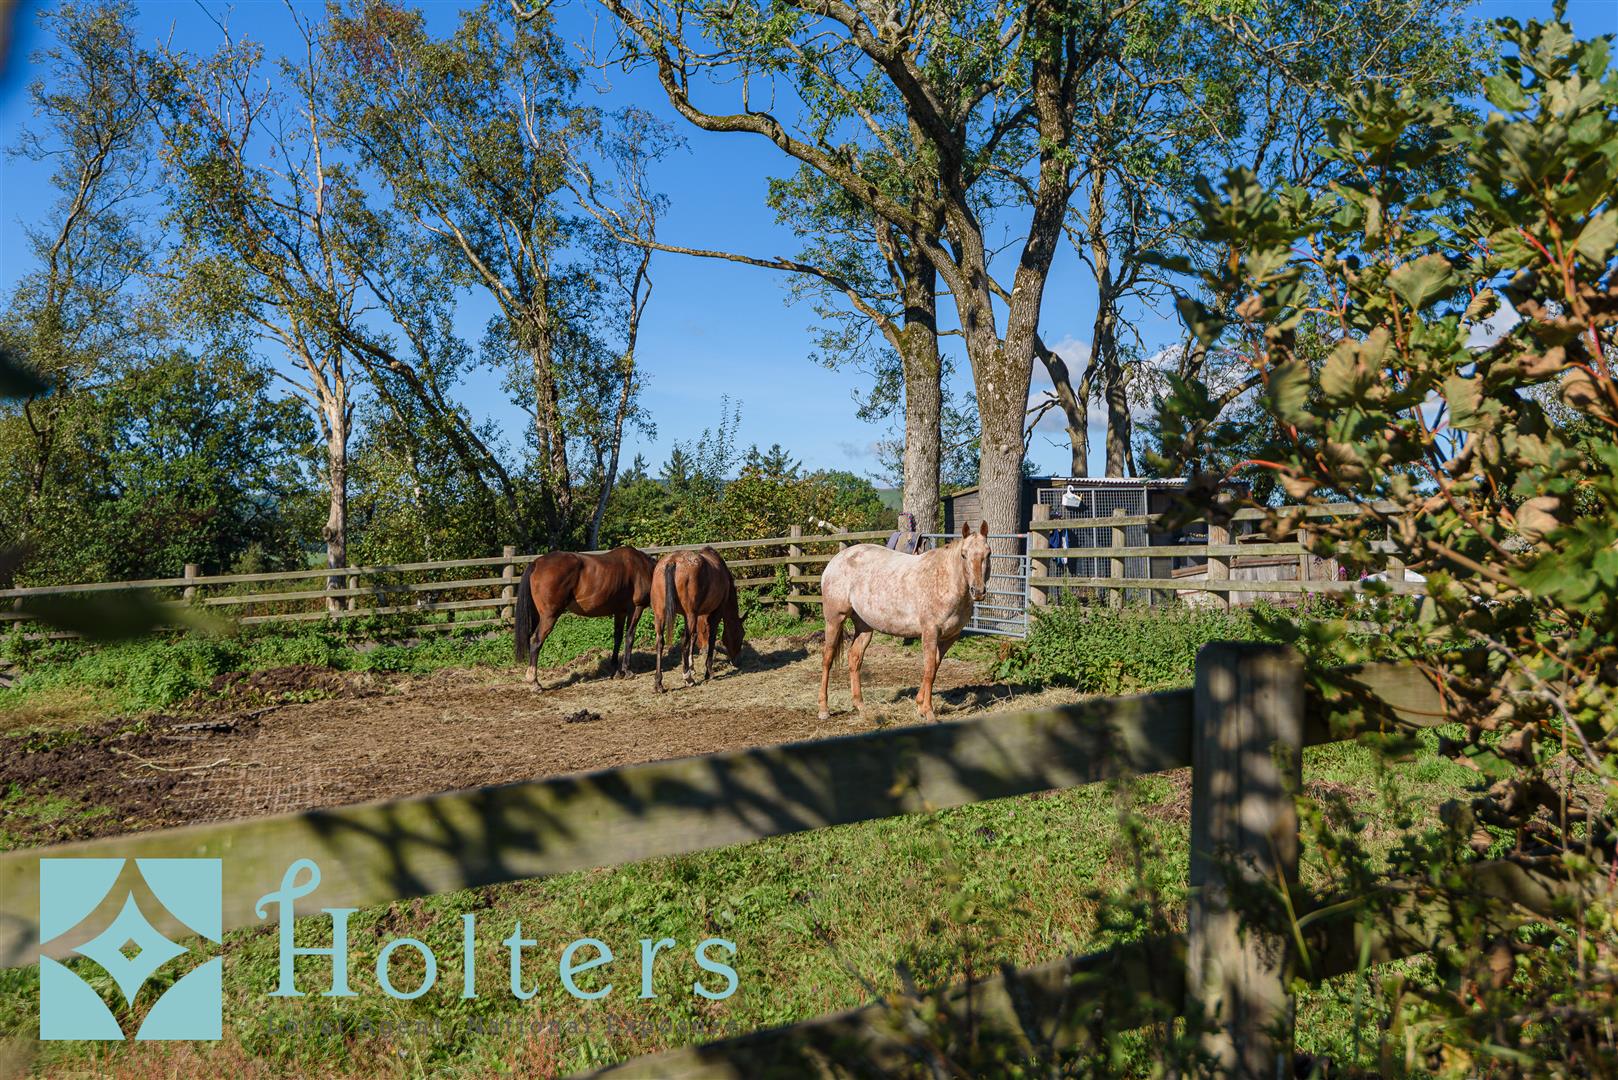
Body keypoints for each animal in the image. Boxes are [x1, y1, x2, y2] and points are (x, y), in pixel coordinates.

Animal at [514, 546, 654, 685]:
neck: (643, 567)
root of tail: (536, 563)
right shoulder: (636, 608)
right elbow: (629, 637)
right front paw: (628, 671)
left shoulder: (620, 612)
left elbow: (617, 638)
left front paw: (616, 671)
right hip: (549, 617)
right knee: (536, 641)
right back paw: (534, 682)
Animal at [651, 546, 744, 692]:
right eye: (741, 635)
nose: (737, 661)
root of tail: (672, 561)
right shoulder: (716, 612)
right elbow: (711, 638)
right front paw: (708, 671)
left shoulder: (693, 615)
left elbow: (695, 636)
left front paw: (692, 666)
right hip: (690, 615)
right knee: (684, 642)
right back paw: (687, 678)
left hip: (660, 614)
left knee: (660, 642)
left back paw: (659, 683)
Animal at [818, 520, 991, 723]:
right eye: (964, 555)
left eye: (988, 553)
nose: (978, 591)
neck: (944, 581)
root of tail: (836, 560)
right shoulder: (930, 632)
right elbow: (929, 669)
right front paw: (929, 712)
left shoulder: (949, 637)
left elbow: (934, 668)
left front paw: (920, 706)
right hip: (834, 619)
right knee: (827, 658)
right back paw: (823, 709)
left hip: (864, 626)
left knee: (854, 658)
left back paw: (860, 705)